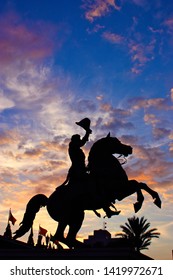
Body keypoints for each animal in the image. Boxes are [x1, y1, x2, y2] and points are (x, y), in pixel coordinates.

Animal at [12, 133, 162, 247]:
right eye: (115, 142)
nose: (130, 148)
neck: (106, 169)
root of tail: (48, 200)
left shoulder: (122, 188)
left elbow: (141, 183)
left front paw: (156, 199)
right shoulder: (119, 191)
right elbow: (137, 184)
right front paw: (139, 203)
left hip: (75, 217)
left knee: (66, 237)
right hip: (71, 217)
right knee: (60, 236)